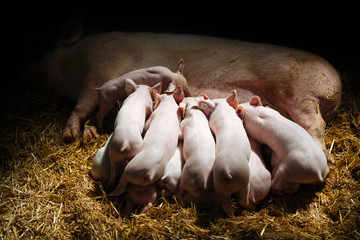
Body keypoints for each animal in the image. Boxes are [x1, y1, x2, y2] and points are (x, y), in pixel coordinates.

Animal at [27, 23, 340, 161]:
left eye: (48, 52)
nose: (29, 68)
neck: (76, 61)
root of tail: (336, 85)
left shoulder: (98, 73)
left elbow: (83, 105)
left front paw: (69, 137)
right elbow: (93, 112)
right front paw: (88, 135)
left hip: (300, 94)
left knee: (316, 124)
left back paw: (325, 156)